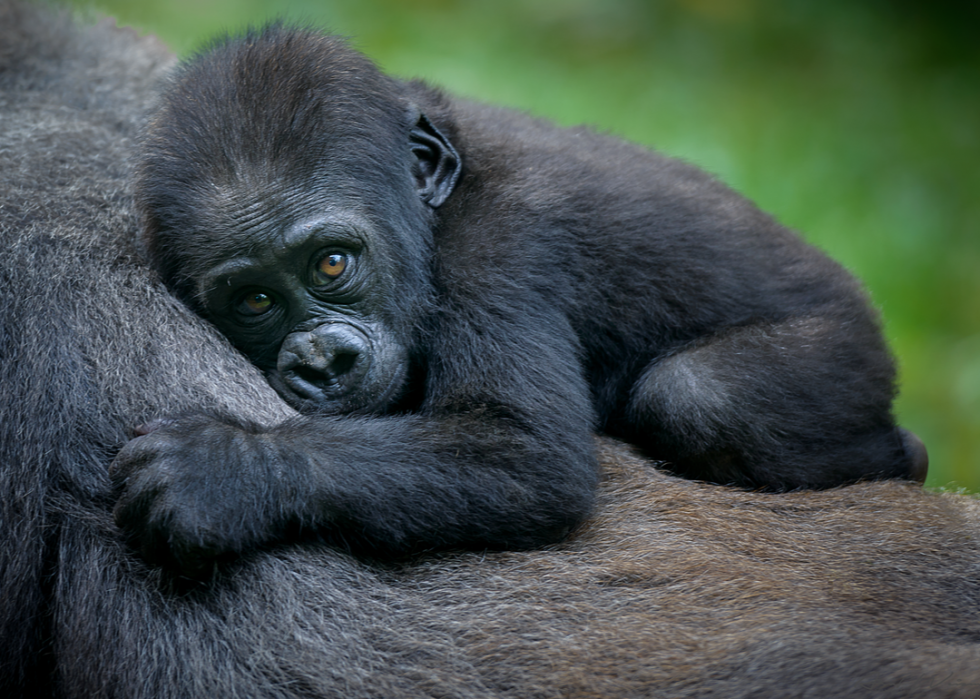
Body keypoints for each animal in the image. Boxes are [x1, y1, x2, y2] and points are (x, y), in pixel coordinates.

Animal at [113, 26, 928, 576]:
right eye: (253, 301)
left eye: (332, 262)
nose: (322, 361)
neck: (435, 202)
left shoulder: (500, 249)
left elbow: (529, 456)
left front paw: (231, 470)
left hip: (847, 349)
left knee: (701, 396)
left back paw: (906, 459)